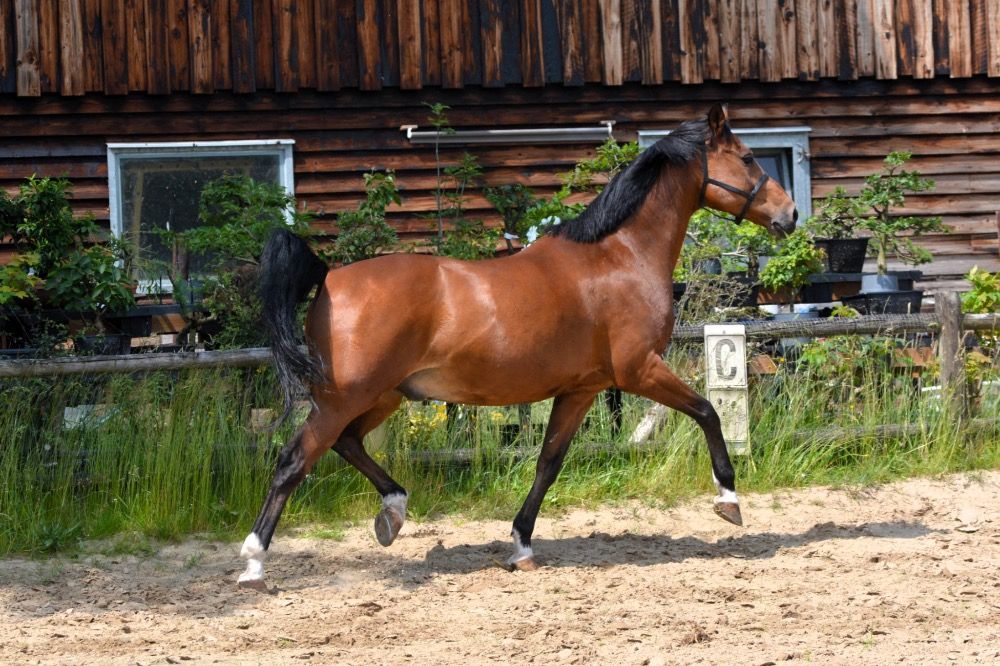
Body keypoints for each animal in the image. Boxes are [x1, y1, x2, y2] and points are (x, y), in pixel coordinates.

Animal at [237, 104, 797, 588]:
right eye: (749, 157)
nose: (789, 214)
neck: (619, 255)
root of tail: (330, 277)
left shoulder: (581, 389)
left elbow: (549, 461)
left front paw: (521, 545)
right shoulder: (639, 370)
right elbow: (708, 412)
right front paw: (729, 500)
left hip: (385, 394)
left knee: (347, 443)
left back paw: (392, 514)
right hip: (346, 397)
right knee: (294, 460)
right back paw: (254, 564)